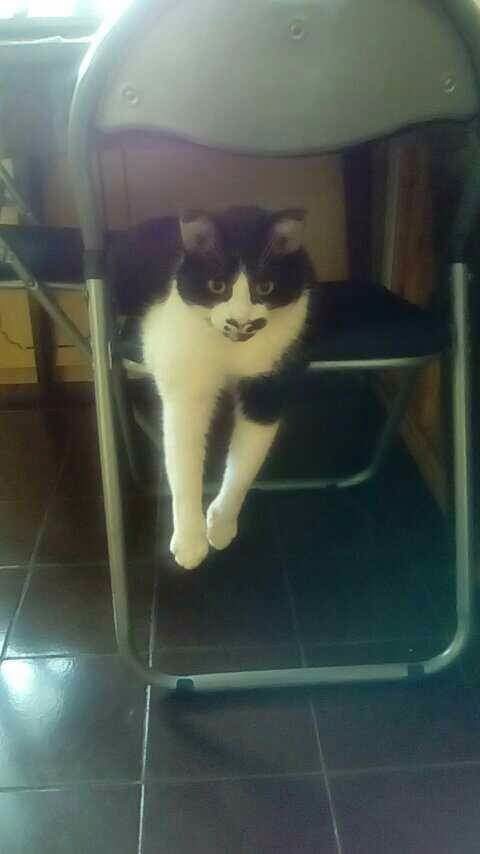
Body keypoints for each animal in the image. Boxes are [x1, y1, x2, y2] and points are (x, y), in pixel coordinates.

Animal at [142, 206, 315, 570]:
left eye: (265, 287)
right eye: (217, 285)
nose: (240, 321)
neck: (230, 350)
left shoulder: (270, 380)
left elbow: (246, 463)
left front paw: (220, 526)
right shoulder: (183, 378)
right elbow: (183, 460)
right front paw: (190, 542)